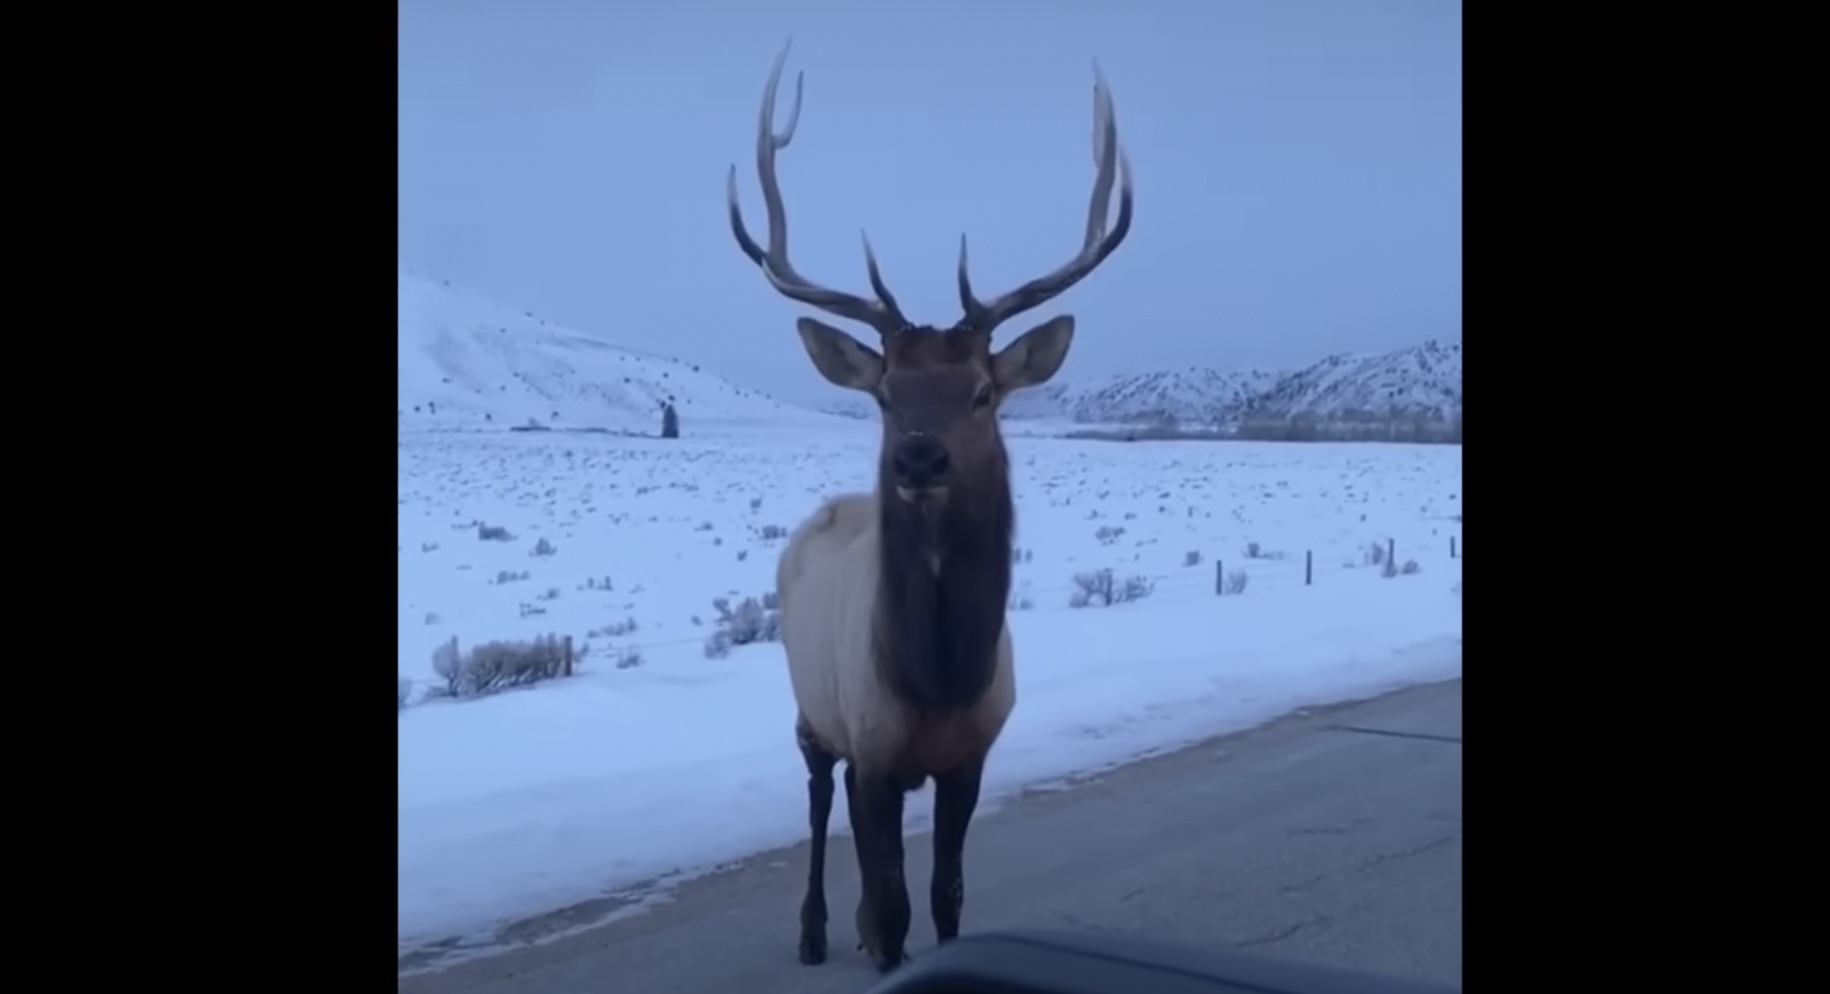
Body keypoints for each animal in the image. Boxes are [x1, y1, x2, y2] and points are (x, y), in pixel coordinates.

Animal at [725, 43, 1133, 974]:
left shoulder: (969, 756)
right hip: (812, 707)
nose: (919, 455)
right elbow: (893, 902)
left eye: (982, 391)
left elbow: (943, 895)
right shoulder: (873, 747)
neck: (938, 675)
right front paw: (874, 940)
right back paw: (813, 930)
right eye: (885, 393)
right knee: (817, 797)